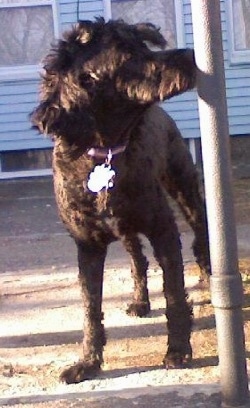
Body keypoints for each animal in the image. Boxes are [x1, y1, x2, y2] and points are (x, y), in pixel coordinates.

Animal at [31, 18, 211, 382]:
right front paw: (87, 361)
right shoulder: (87, 246)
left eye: (143, 47)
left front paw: (178, 350)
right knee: (137, 261)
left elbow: (174, 292)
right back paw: (141, 301)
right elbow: (90, 308)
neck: (106, 151)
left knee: (200, 235)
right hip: (127, 227)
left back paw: (207, 274)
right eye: (128, 57)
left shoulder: (163, 229)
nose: (191, 54)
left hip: (183, 186)